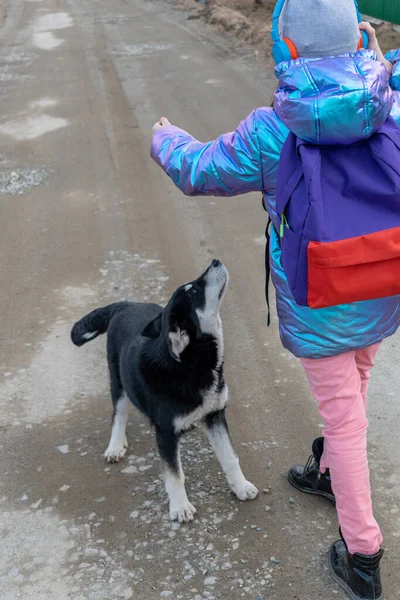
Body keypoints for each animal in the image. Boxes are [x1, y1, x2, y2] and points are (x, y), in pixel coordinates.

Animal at [71, 260, 260, 524]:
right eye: (194, 291)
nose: (215, 261)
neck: (192, 363)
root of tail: (125, 304)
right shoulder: (166, 432)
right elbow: (175, 474)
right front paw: (180, 507)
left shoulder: (215, 415)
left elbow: (230, 457)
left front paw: (241, 486)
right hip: (117, 380)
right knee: (119, 414)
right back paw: (116, 445)